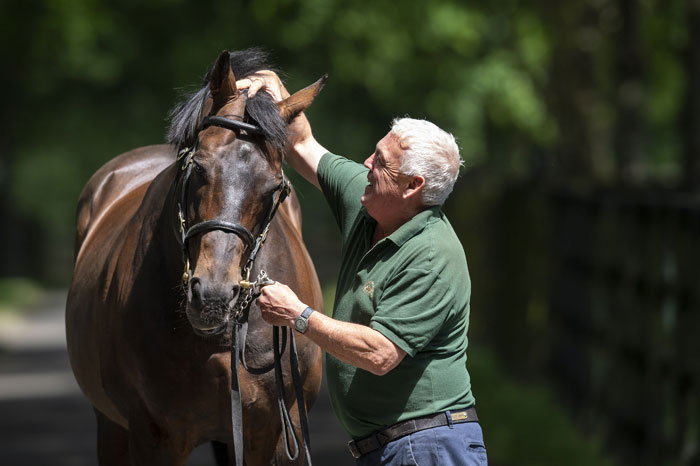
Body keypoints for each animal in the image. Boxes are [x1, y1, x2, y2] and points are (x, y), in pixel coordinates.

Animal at [65, 49, 325, 466]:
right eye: (198, 166)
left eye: (275, 188)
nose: (213, 296)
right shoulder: (154, 438)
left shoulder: (272, 434)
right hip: (112, 428)